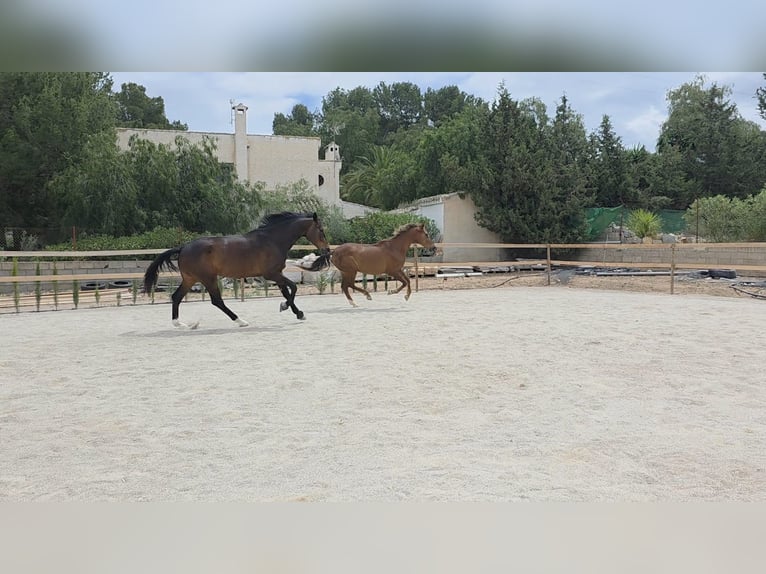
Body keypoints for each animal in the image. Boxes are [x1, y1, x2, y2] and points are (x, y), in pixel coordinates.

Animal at [143, 212, 330, 328]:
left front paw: (299, 313)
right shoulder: (271, 274)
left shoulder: (277, 274)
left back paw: (181, 324)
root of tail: (183, 247)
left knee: (176, 297)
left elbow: (287, 291)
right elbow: (294, 288)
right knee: (217, 301)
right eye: (321, 230)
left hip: (190, 279)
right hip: (208, 278)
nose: (327, 250)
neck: (273, 240)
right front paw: (284, 307)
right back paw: (241, 321)